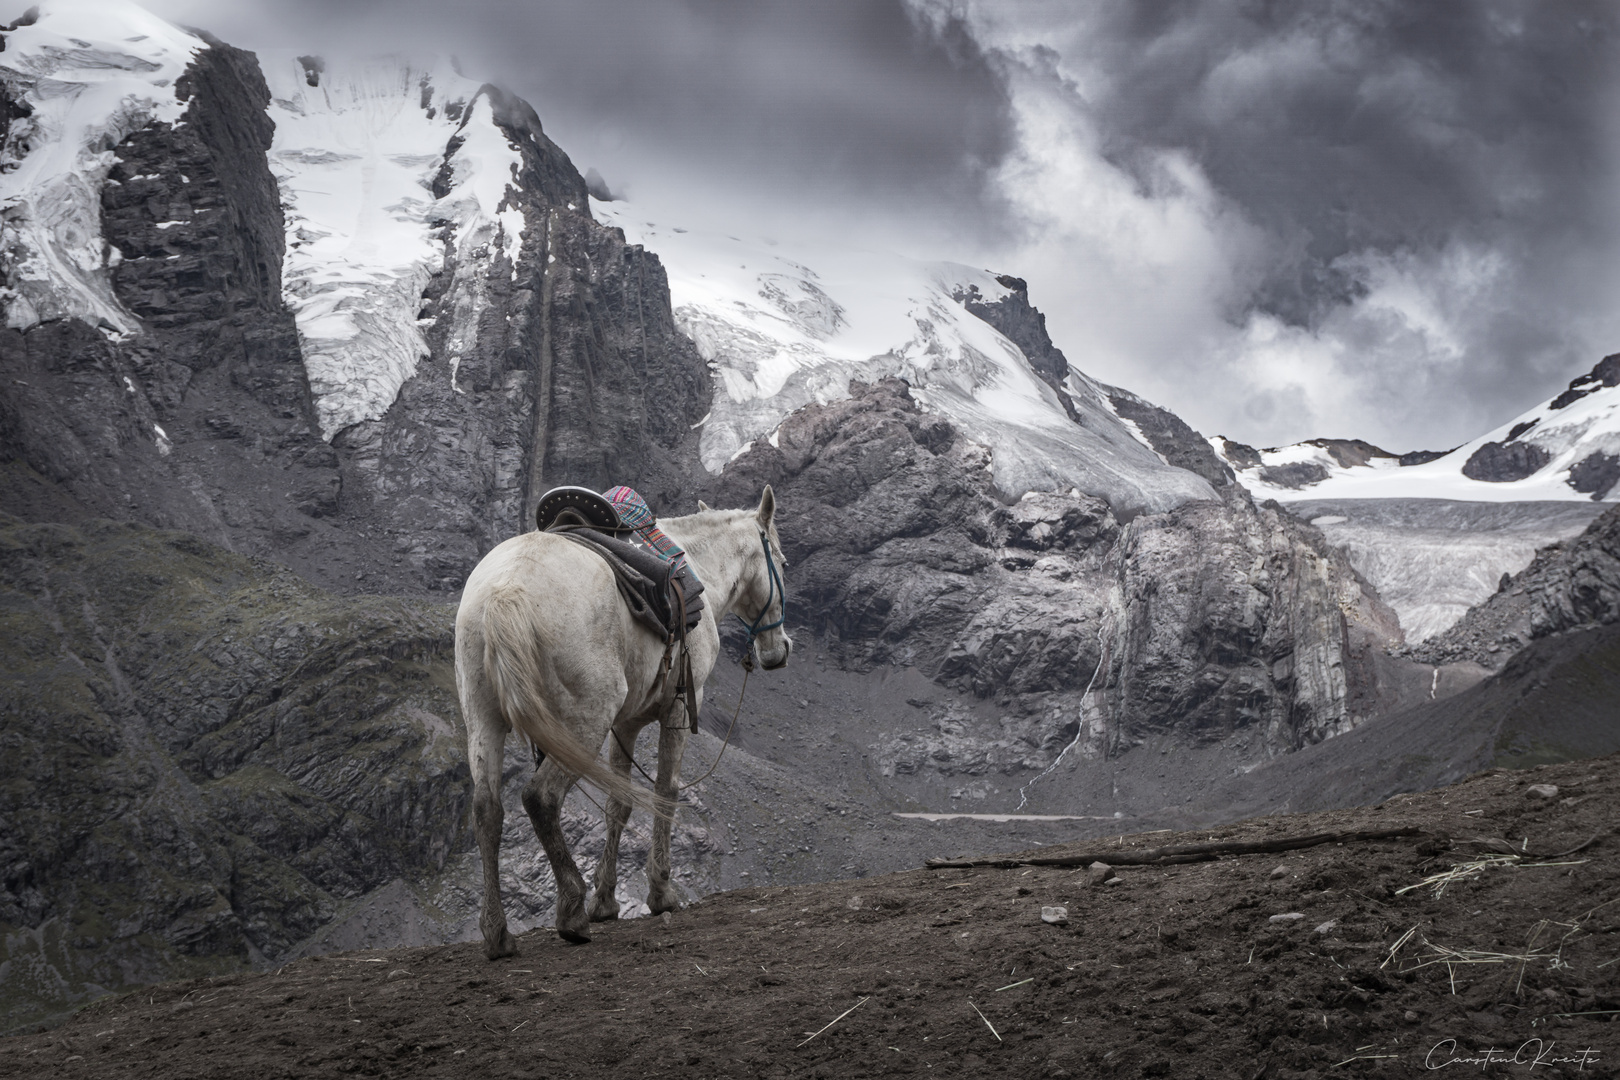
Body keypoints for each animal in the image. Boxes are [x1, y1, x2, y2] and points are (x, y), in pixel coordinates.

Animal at [456, 488, 790, 952]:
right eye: (782, 561)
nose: (778, 651)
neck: (698, 565)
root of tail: (505, 591)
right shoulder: (679, 707)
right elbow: (666, 791)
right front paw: (660, 892)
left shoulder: (626, 724)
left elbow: (619, 803)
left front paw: (606, 899)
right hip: (584, 721)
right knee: (541, 797)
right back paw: (571, 912)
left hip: (483, 719)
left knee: (488, 809)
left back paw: (498, 934)